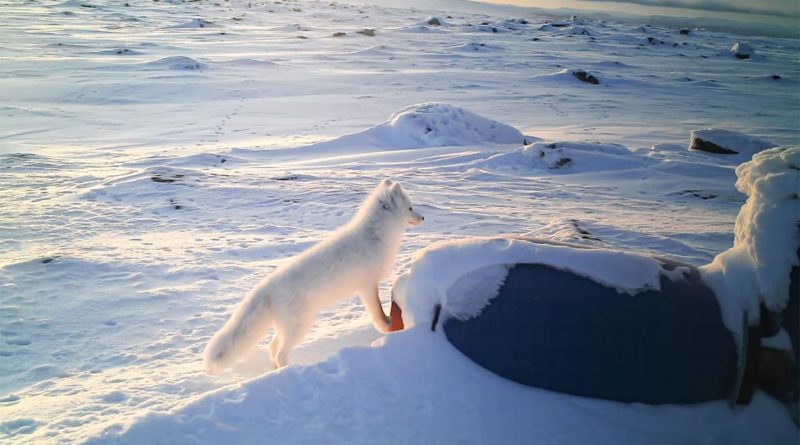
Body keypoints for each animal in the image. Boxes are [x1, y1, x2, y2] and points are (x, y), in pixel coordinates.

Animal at [203, 179, 422, 372]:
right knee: (280, 353)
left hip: (288, 326)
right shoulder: (368, 285)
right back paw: (289, 370)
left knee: (272, 347)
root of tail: (266, 287)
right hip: (299, 325)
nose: (423, 218)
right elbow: (376, 310)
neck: (374, 235)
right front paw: (386, 325)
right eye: (410, 208)